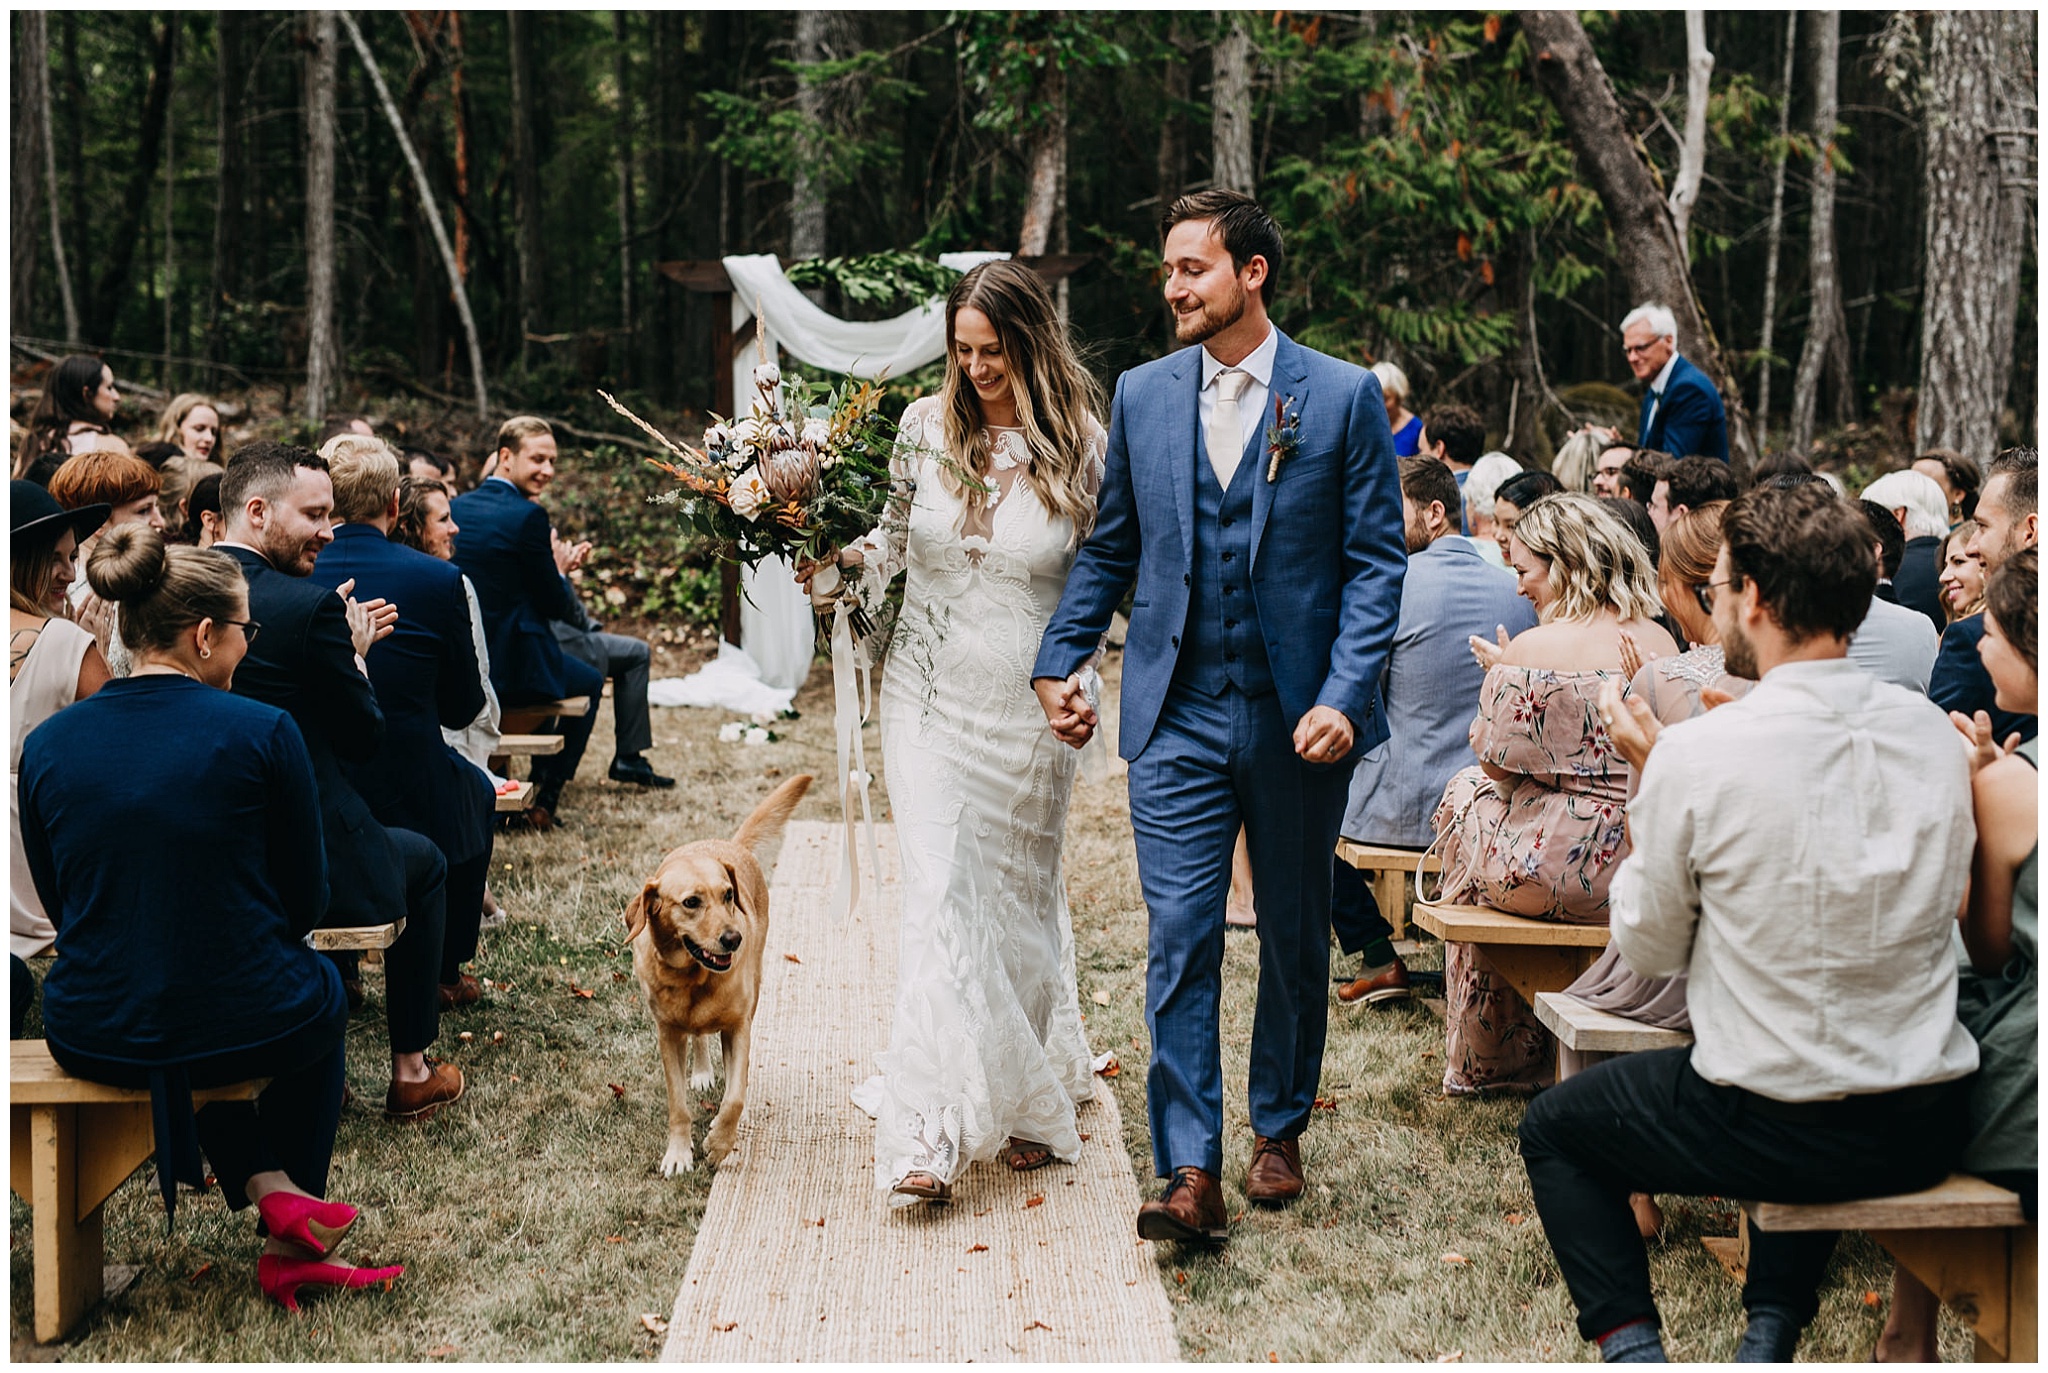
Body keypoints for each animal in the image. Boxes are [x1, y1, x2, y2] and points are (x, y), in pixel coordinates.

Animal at [626, 770, 811, 1180]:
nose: (734, 938)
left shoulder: (739, 1026)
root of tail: (729, 845)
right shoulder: (667, 1035)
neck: (693, 980)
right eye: (691, 902)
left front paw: (719, 1144)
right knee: (697, 1038)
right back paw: (701, 1071)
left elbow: (735, 1098)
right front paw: (678, 1153)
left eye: (728, 895)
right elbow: (677, 1104)